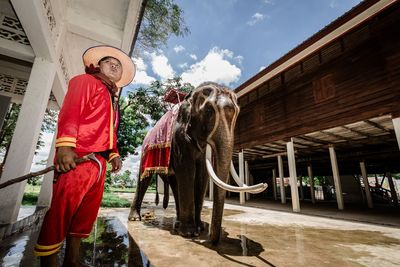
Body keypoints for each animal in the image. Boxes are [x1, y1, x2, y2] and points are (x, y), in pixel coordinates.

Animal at [130, 82, 268, 246]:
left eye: (237, 114)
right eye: (208, 111)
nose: (212, 240)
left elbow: (202, 174)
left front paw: (200, 227)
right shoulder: (180, 138)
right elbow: (188, 171)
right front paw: (190, 233)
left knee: (174, 182)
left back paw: (177, 223)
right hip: (145, 152)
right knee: (144, 179)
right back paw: (135, 218)